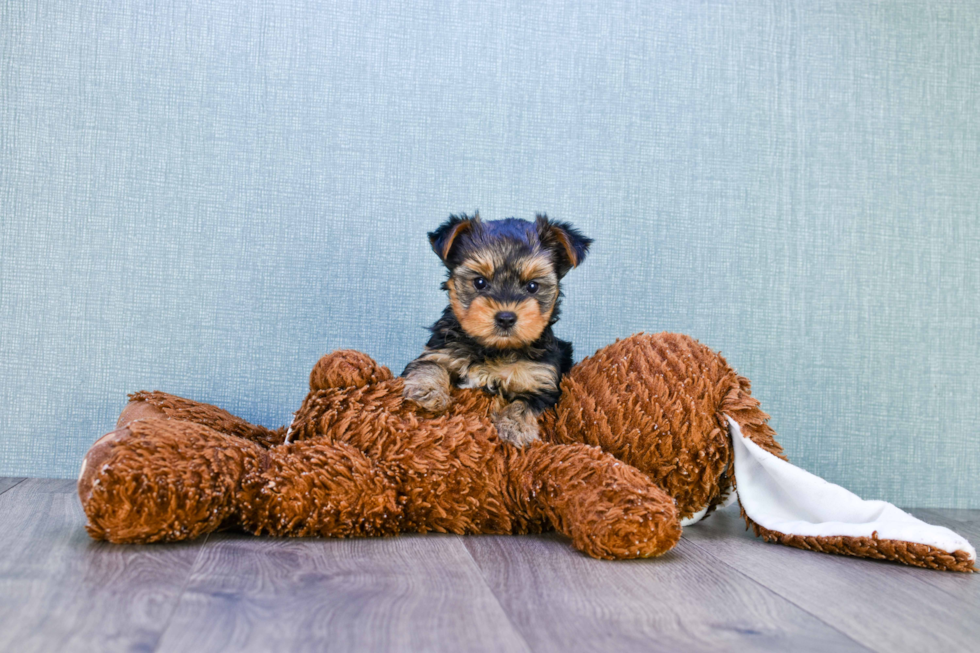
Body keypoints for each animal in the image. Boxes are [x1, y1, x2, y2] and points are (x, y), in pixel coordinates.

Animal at [402, 211, 592, 446]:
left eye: (532, 286)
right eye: (480, 282)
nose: (506, 318)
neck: (494, 349)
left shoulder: (542, 381)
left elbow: (524, 405)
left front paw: (515, 427)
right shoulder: (439, 351)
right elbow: (429, 365)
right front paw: (427, 392)